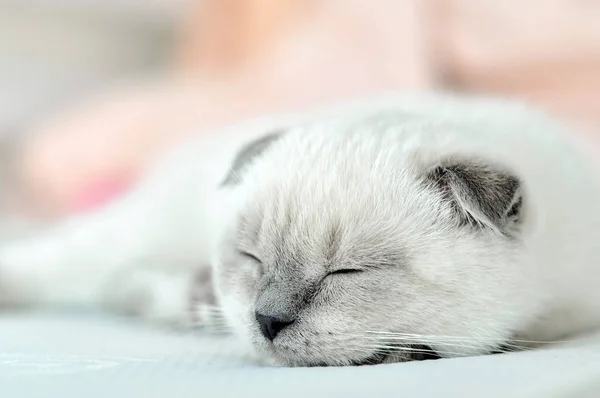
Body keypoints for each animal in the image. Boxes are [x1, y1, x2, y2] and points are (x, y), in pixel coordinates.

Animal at [1, 93, 600, 366]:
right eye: (252, 259)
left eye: (347, 272)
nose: (265, 320)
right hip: (130, 233)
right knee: (64, 267)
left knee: (125, 287)